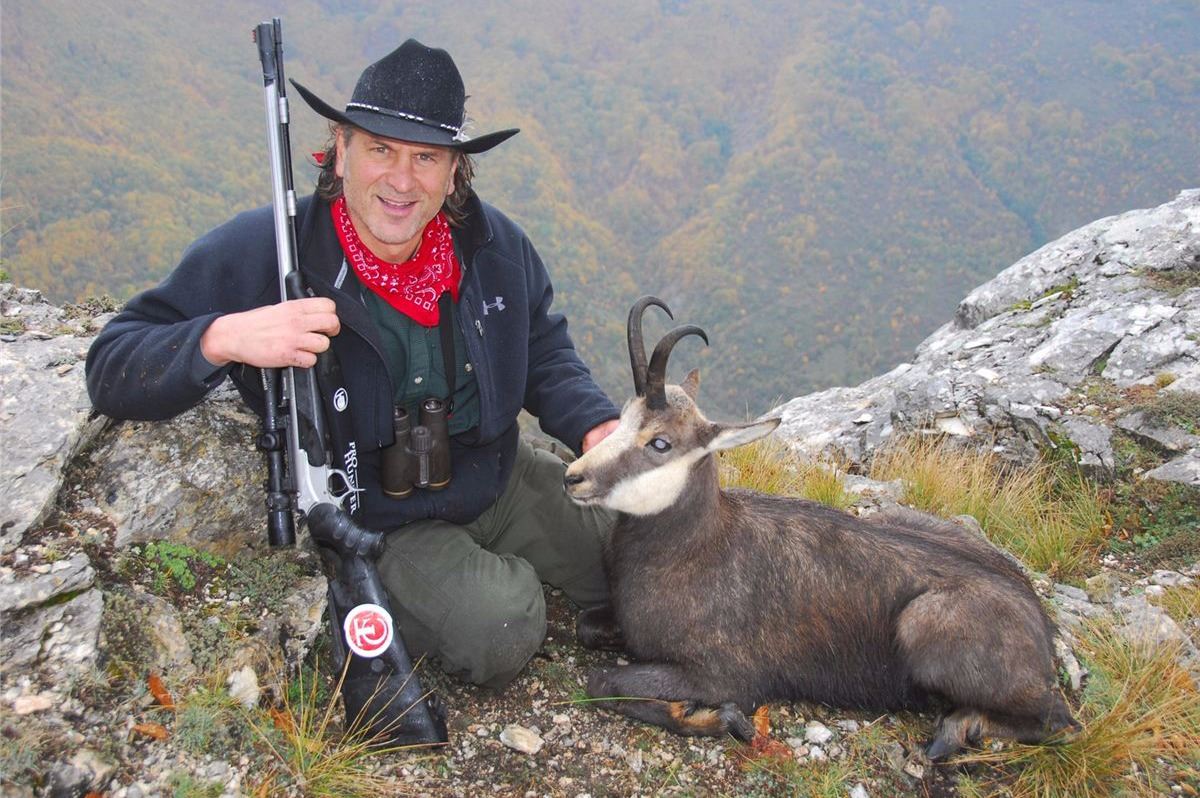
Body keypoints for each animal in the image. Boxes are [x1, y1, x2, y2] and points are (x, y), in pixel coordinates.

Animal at [563, 296, 1077, 759]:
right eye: (622, 418)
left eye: (661, 442)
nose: (574, 477)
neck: (692, 549)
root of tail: (1041, 629)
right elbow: (587, 629)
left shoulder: (722, 672)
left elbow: (601, 678)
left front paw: (716, 718)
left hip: (924, 622)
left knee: (1058, 721)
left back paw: (955, 732)